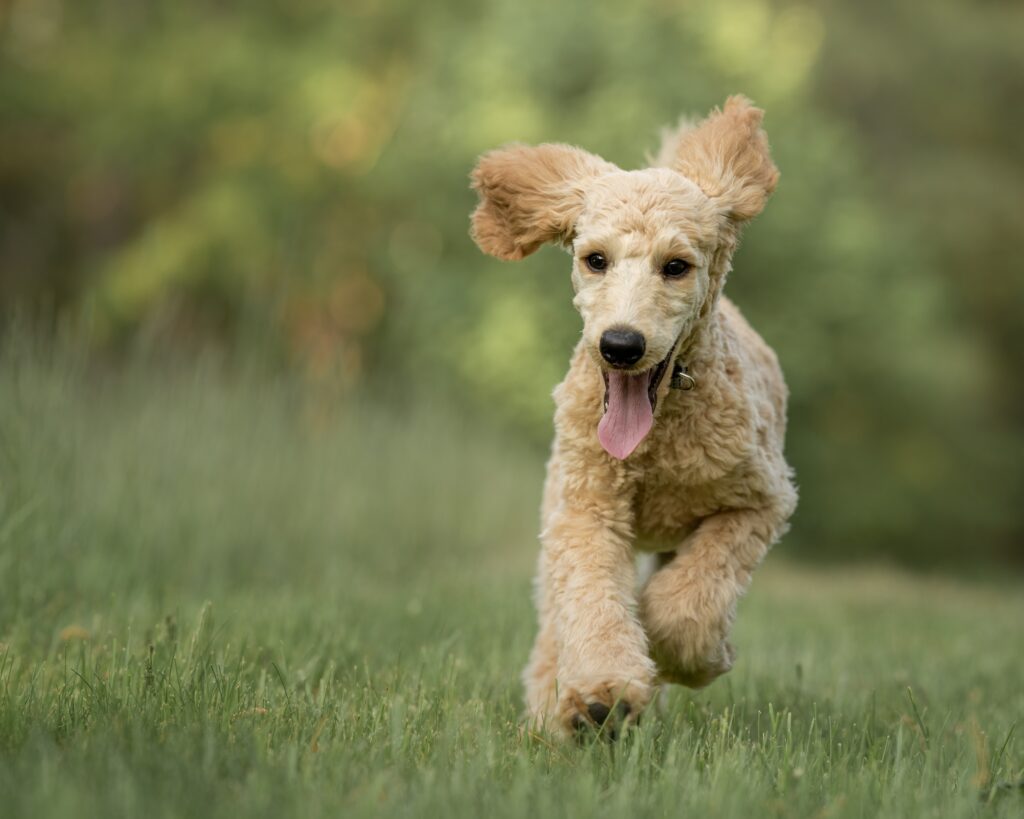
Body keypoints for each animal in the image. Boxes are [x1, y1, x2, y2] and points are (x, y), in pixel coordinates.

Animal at [468, 94, 794, 737]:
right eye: (595, 259)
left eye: (676, 266)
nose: (620, 345)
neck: (660, 437)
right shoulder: (586, 511)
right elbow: (592, 598)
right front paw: (604, 693)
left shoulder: (759, 503)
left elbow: (688, 603)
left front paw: (688, 655)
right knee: (556, 621)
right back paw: (556, 711)